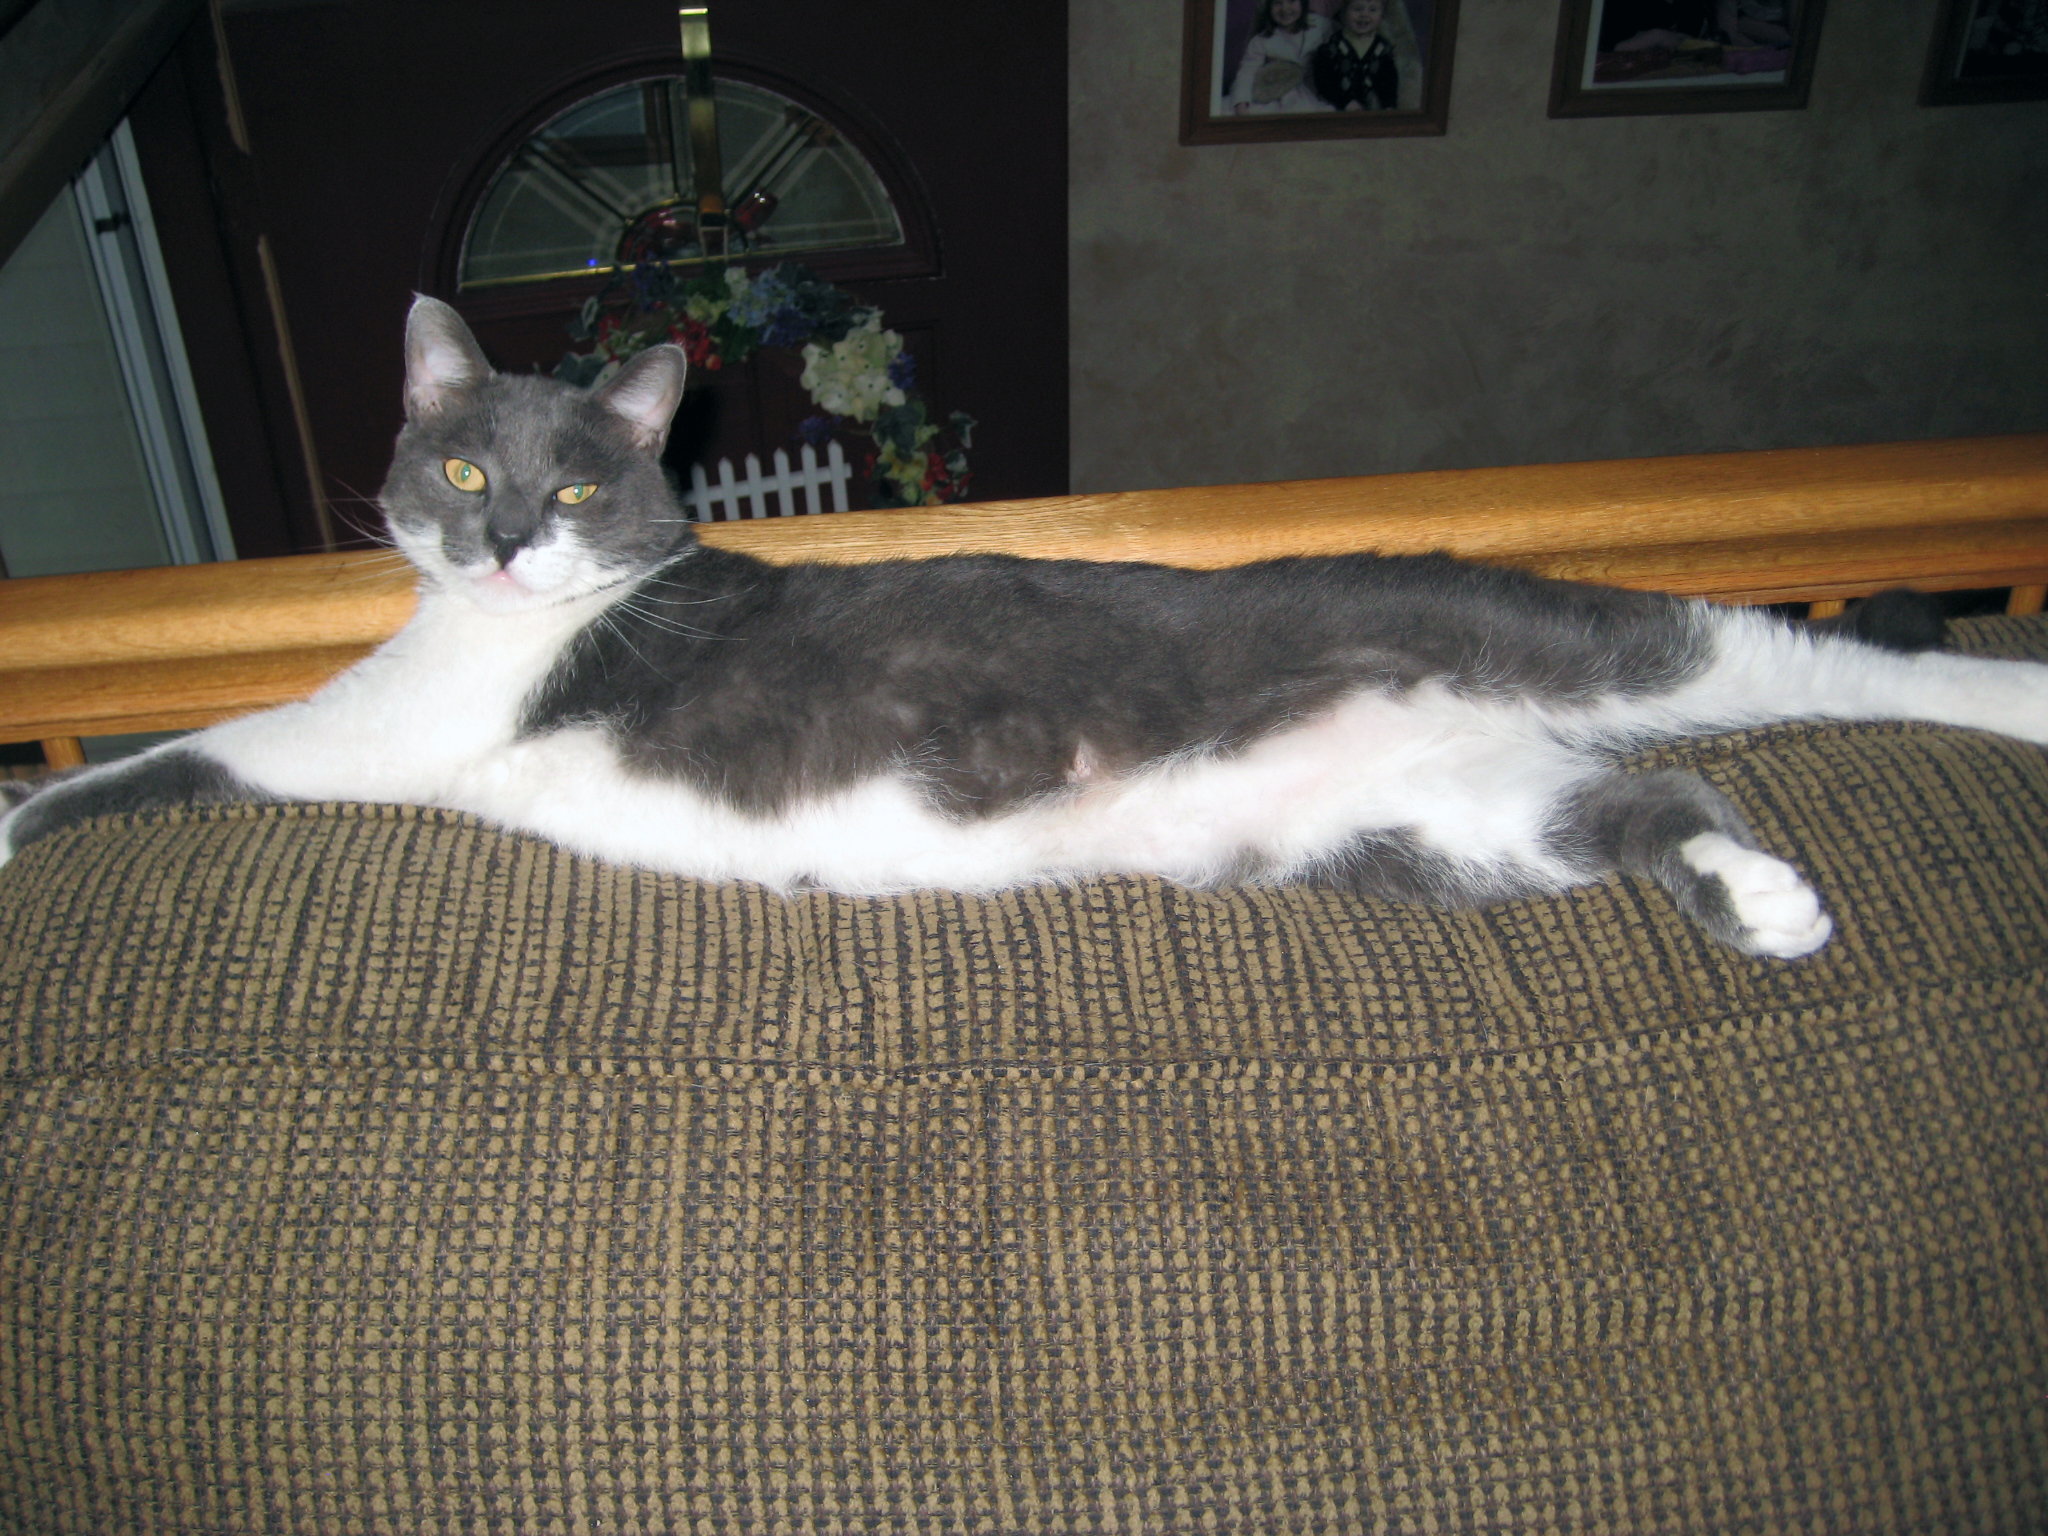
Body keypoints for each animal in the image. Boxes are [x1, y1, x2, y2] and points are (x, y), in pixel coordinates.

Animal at [4, 294, 2048, 958]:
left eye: (575, 492)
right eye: (453, 467)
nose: (501, 546)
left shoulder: (371, 728)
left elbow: (180, 747)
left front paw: (18, 815)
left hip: (1580, 638)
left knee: (1820, 659)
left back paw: (2002, 700)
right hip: (1448, 819)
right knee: (1654, 803)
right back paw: (1760, 902)